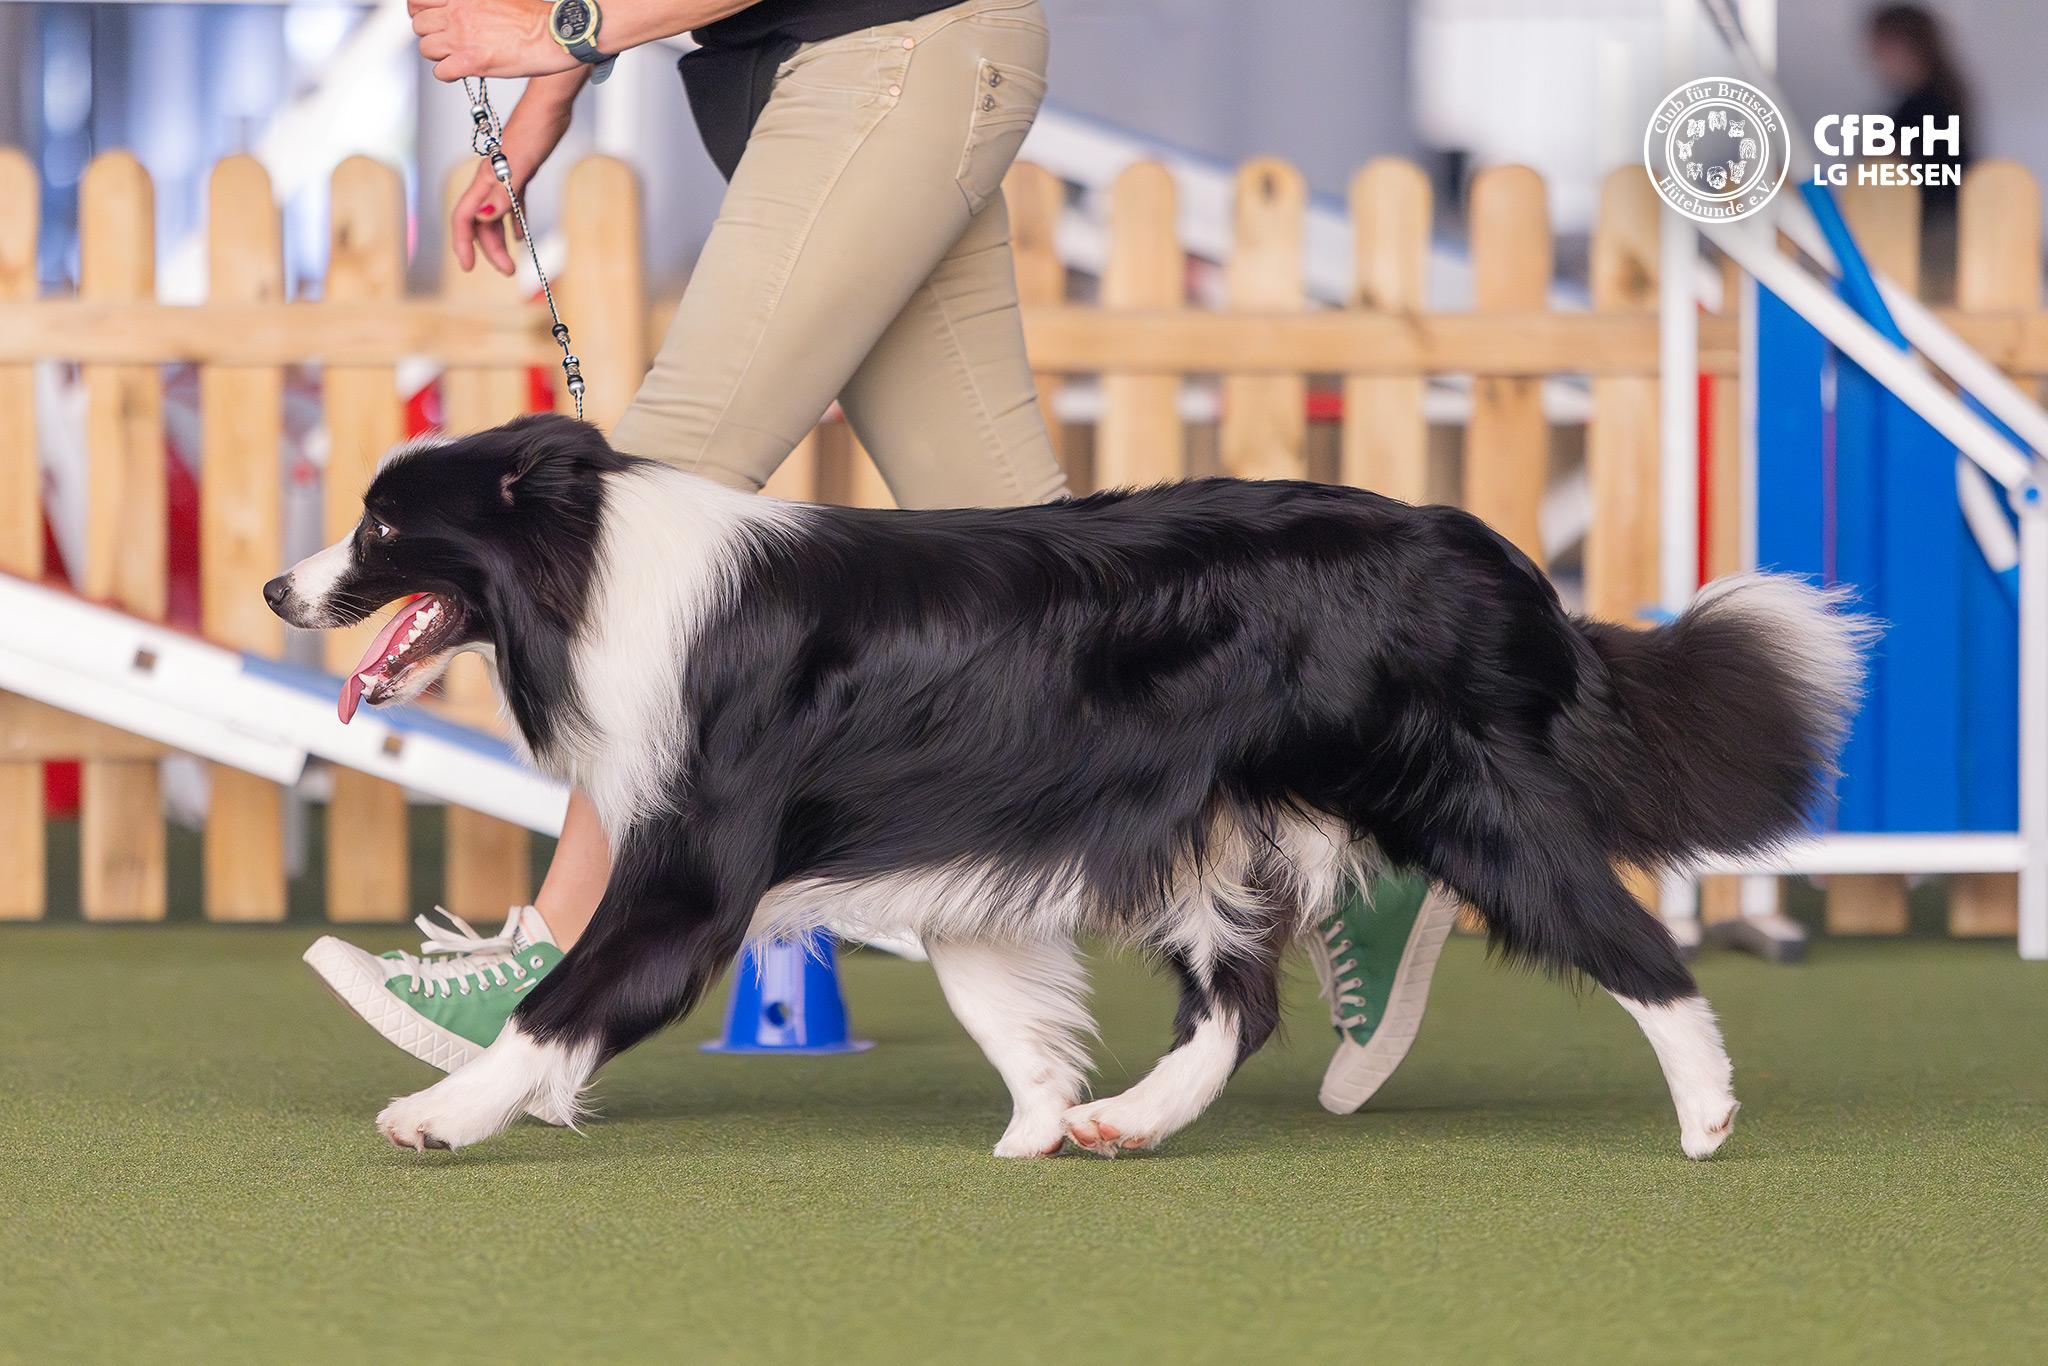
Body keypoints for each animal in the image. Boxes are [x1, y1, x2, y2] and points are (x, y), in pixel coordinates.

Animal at [264, 417, 1867, 1163]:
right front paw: (1045, 1115)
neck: (593, 564)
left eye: (385, 526)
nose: (280, 587)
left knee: (1630, 937)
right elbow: (1005, 1003)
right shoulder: (957, 839)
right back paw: (1133, 1121)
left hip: (1468, 796)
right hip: (1204, 823)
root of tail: (1498, 561)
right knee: (1238, 999)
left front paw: (445, 1112)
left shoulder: (698, 862)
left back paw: (1707, 1113)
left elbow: (565, 997)